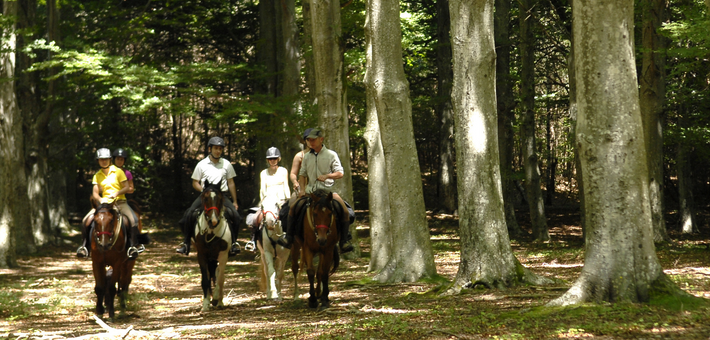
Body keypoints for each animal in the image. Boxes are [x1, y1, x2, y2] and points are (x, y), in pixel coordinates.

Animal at [192, 179, 231, 312]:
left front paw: (216, 299)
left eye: (219, 198)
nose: (213, 221)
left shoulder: (223, 255)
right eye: (205, 198)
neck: (211, 232)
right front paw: (205, 304)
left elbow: (220, 279)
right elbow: (205, 280)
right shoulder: (202, 255)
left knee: (219, 275)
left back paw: (219, 302)